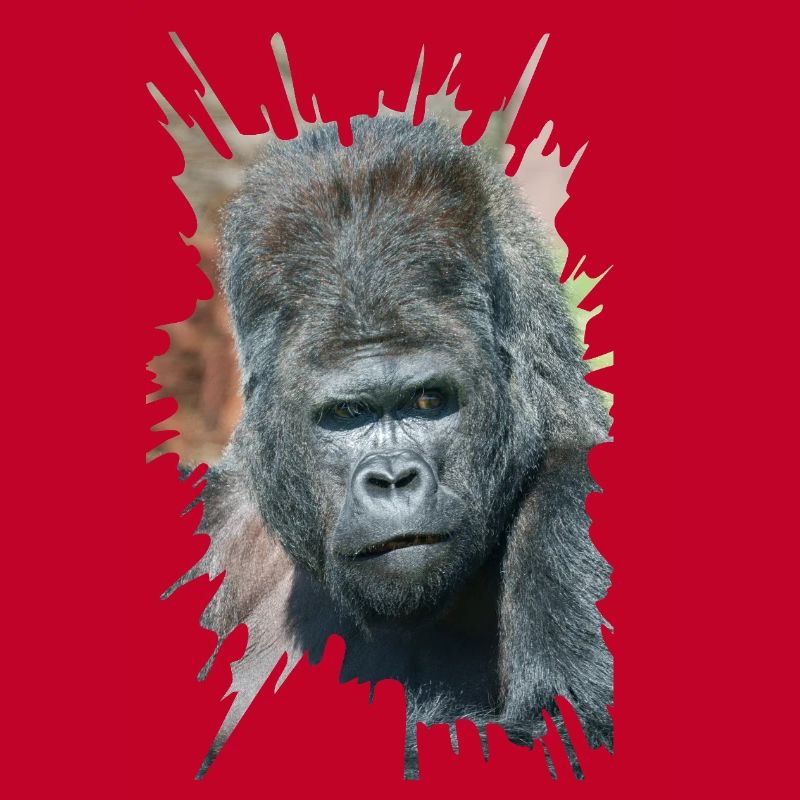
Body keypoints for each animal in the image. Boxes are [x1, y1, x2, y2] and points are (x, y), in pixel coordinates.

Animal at [170, 116, 612, 778]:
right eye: (347, 414)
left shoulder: (581, 495)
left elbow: (565, 740)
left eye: (427, 401)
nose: (393, 479)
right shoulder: (208, 519)